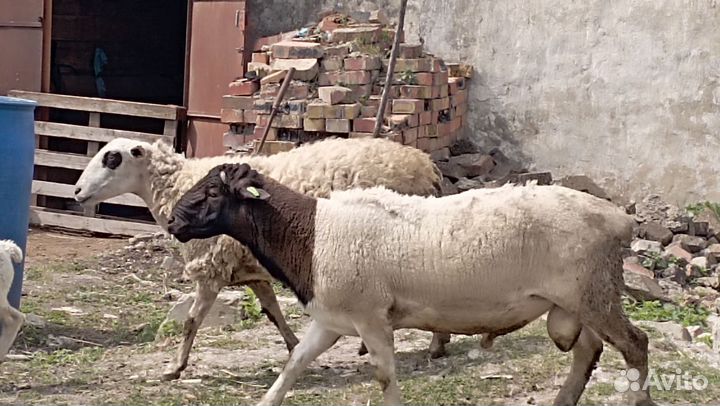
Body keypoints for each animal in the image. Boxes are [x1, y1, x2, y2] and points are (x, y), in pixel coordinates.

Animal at [73, 136, 451, 380]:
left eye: (111, 158)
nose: (76, 192)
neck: (177, 185)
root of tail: (426, 165)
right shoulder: (252, 272)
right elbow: (272, 312)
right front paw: (294, 346)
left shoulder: (211, 268)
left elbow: (191, 322)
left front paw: (174, 368)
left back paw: (435, 345)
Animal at [166, 162, 655, 406]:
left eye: (213, 193)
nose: (171, 222)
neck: (309, 234)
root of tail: (619, 219)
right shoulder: (331, 321)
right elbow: (294, 364)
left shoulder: (371, 318)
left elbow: (384, 376)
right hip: (580, 300)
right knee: (589, 351)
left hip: (593, 293)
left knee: (635, 345)